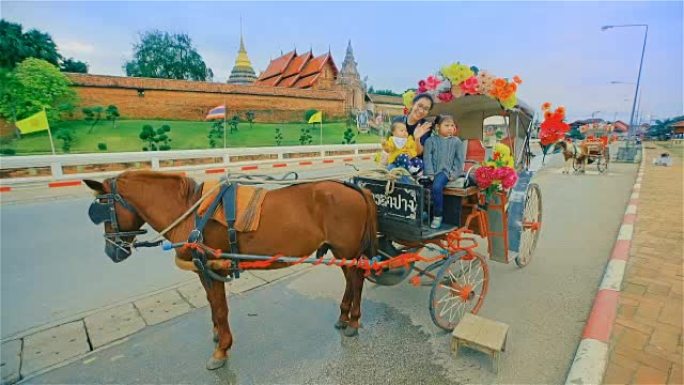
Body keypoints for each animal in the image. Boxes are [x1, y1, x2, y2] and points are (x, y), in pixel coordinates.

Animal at [84, 171, 380, 368]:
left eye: (102, 209)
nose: (112, 251)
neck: (190, 211)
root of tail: (356, 189)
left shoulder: (211, 267)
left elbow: (219, 307)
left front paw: (222, 349)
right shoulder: (204, 269)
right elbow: (212, 304)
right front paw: (217, 335)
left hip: (347, 251)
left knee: (356, 280)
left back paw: (353, 320)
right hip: (341, 252)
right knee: (351, 280)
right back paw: (344, 316)